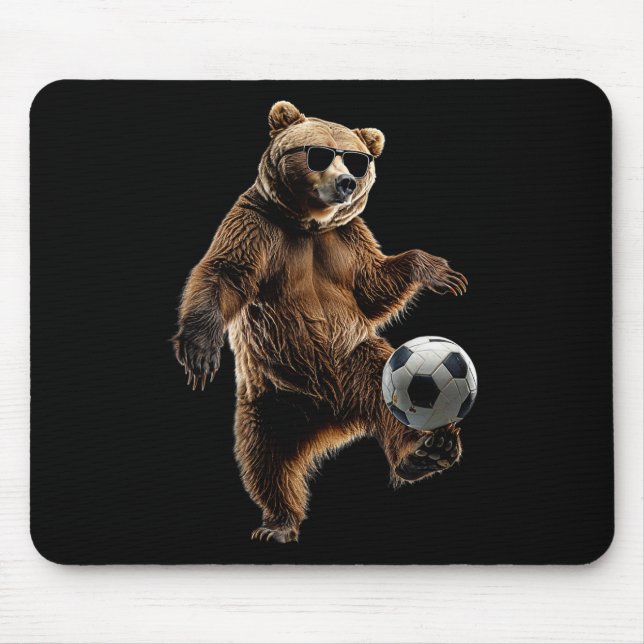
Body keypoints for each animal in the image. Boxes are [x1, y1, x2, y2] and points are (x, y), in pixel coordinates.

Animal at [173, 101, 468, 543]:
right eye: (320, 154)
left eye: (357, 160)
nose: (346, 182)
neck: (309, 224)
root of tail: (332, 417)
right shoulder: (256, 226)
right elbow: (225, 273)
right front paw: (199, 350)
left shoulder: (348, 238)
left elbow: (371, 285)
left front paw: (438, 271)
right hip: (273, 396)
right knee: (264, 456)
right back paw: (277, 523)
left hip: (357, 362)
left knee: (388, 398)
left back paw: (426, 452)